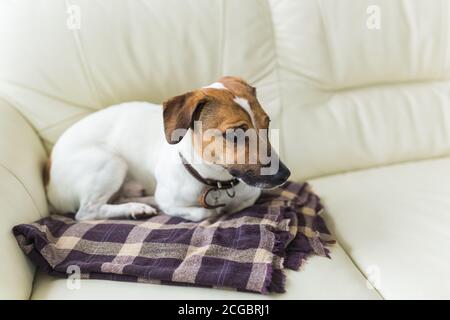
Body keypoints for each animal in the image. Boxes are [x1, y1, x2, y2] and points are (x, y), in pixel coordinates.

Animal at [46, 76, 292, 221]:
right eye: (235, 135)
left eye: (267, 123)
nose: (285, 175)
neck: (216, 182)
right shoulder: (176, 201)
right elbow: (204, 212)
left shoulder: (251, 194)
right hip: (111, 162)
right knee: (88, 212)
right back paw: (134, 208)